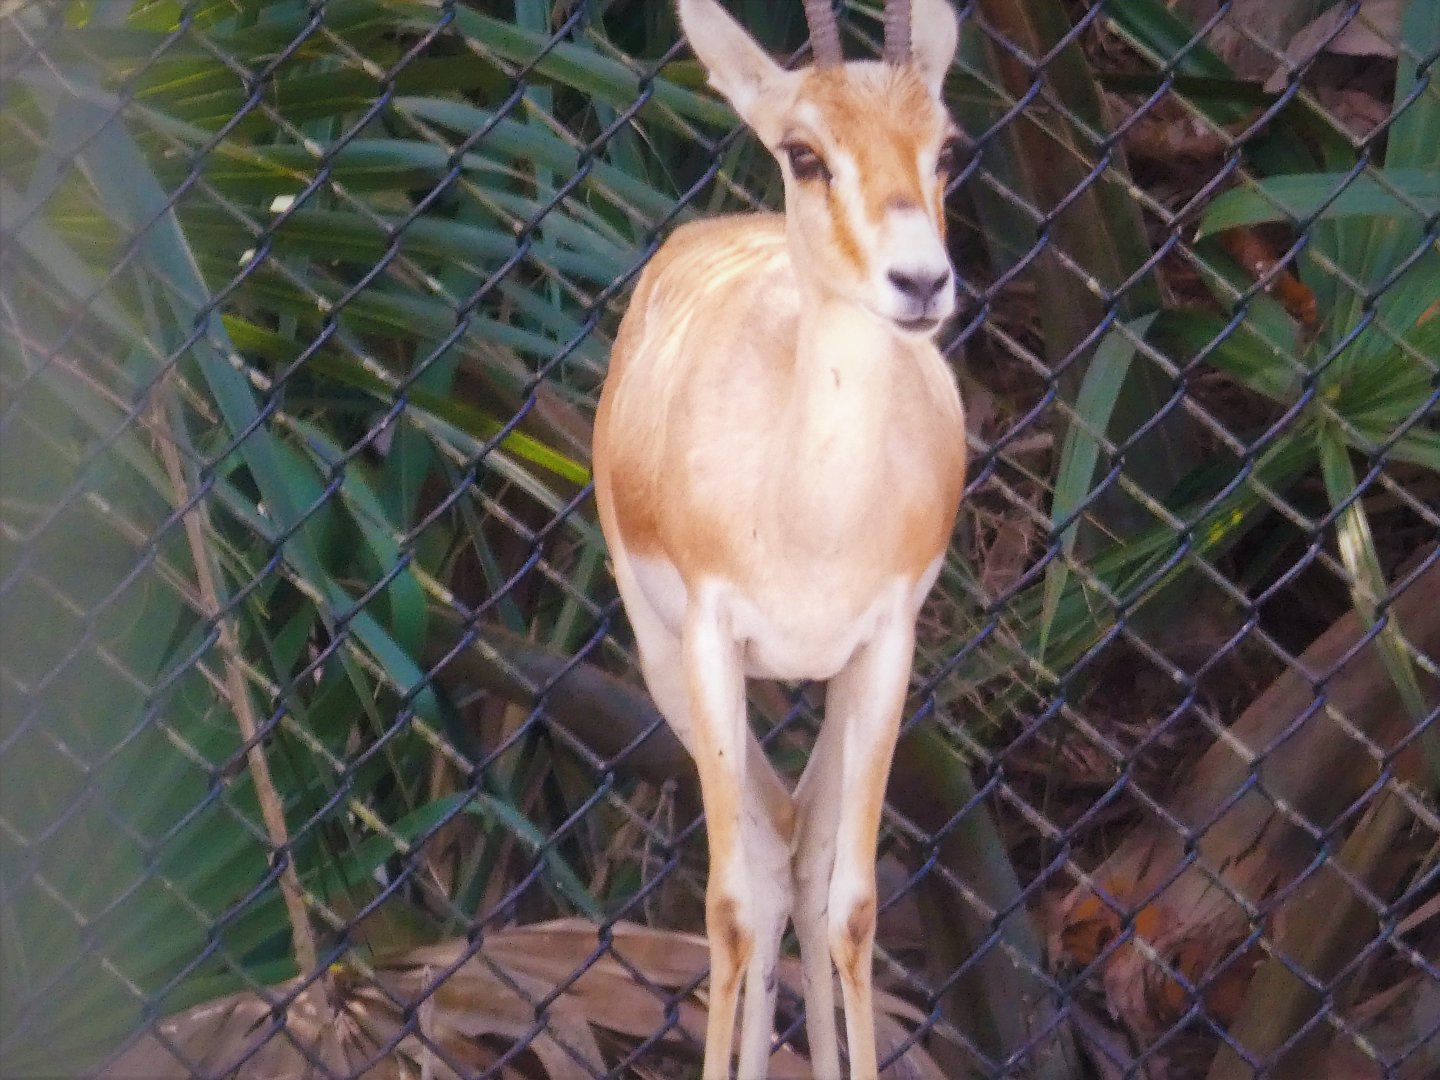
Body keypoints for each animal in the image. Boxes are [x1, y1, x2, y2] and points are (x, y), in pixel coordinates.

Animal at [592, 0, 965, 1075]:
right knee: (761, 864)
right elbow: (728, 907)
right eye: (805, 153)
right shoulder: (709, 643)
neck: (808, 519)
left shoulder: (886, 649)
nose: (920, 281)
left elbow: (852, 905)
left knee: (801, 849)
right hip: (662, 664)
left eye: (945, 148)